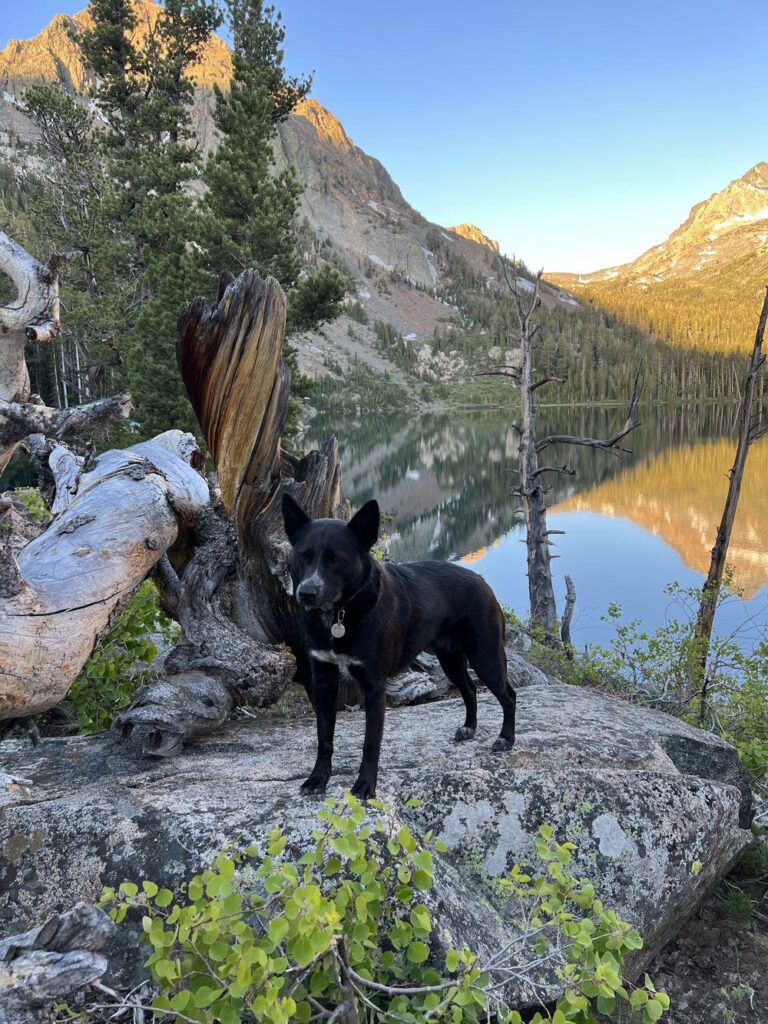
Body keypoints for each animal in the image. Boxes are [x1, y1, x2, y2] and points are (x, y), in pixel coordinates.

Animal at [282, 491, 518, 794]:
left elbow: (371, 742)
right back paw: (470, 727)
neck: (341, 614)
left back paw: (506, 738)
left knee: (509, 695)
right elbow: (324, 739)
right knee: (469, 689)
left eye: (336, 559)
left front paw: (365, 785)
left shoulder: (374, 685)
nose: (306, 593)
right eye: (304, 556)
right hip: (450, 658)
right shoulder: (322, 682)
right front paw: (317, 779)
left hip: (486, 656)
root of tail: (482, 581)